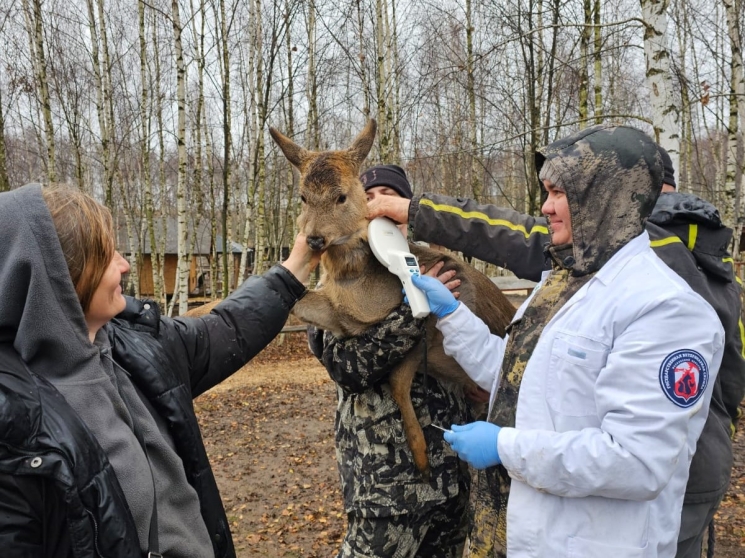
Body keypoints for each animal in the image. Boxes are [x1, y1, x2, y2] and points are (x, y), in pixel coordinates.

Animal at [268, 119, 516, 482]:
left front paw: (422, 458)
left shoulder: (427, 327)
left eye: (342, 196)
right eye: (302, 197)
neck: (358, 288)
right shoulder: (338, 316)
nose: (313, 239)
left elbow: (398, 383)